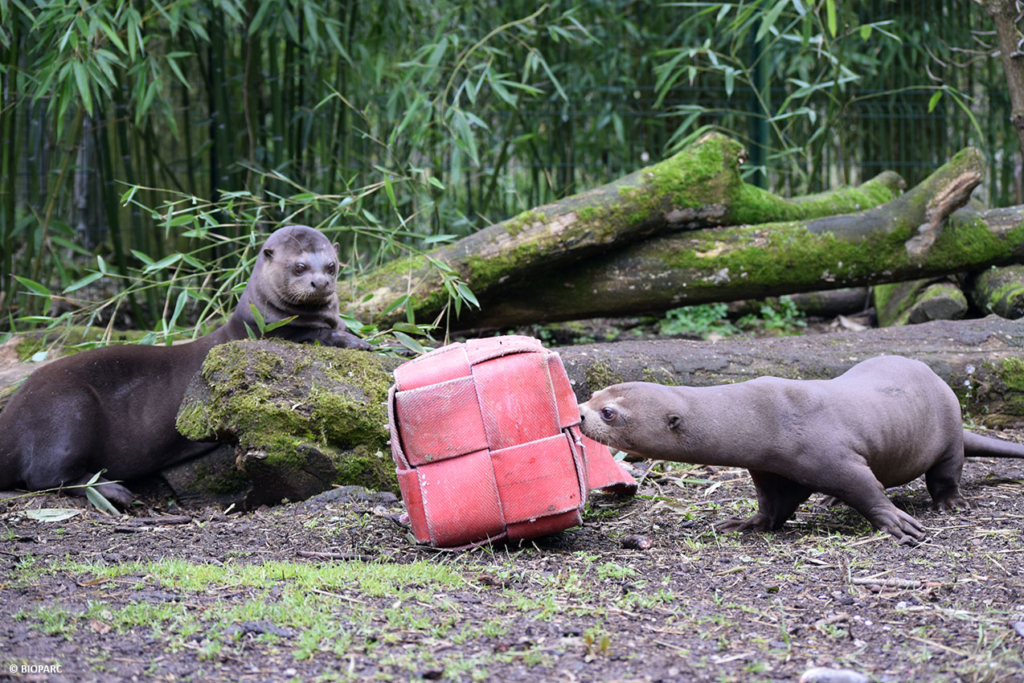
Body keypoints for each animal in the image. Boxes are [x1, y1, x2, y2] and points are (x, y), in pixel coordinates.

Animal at [0, 227, 368, 505]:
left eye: (332, 265)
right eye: (300, 267)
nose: (321, 283)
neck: (261, 318)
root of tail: (11, 420)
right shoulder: (280, 333)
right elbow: (319, 335)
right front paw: (356, 342)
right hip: (69, 410)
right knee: (45, 478)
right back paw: (114, 490)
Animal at [581, 358, 1024, 544]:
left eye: (609, 412)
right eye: (593, 394)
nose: (580, 415)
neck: (766, 417)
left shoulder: (836, 457)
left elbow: (868, 490)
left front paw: (896, 523)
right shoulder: (771, 470)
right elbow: (773, 506)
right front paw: (746, 523)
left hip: (948, 435)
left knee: (946, 473)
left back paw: (951, 502)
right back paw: (831, 501)